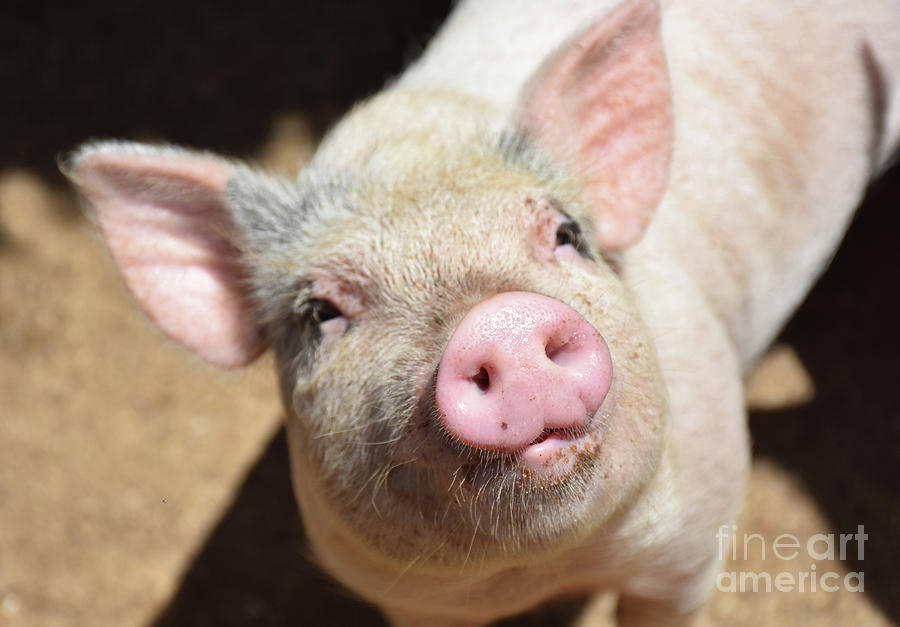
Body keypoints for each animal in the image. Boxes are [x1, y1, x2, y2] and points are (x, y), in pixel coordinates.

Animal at [63, 0, 900, 624]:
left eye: (567, 234)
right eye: (322, 311)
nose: (500, 320)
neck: (544, 567)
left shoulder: (695, 538)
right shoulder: (406, 595)